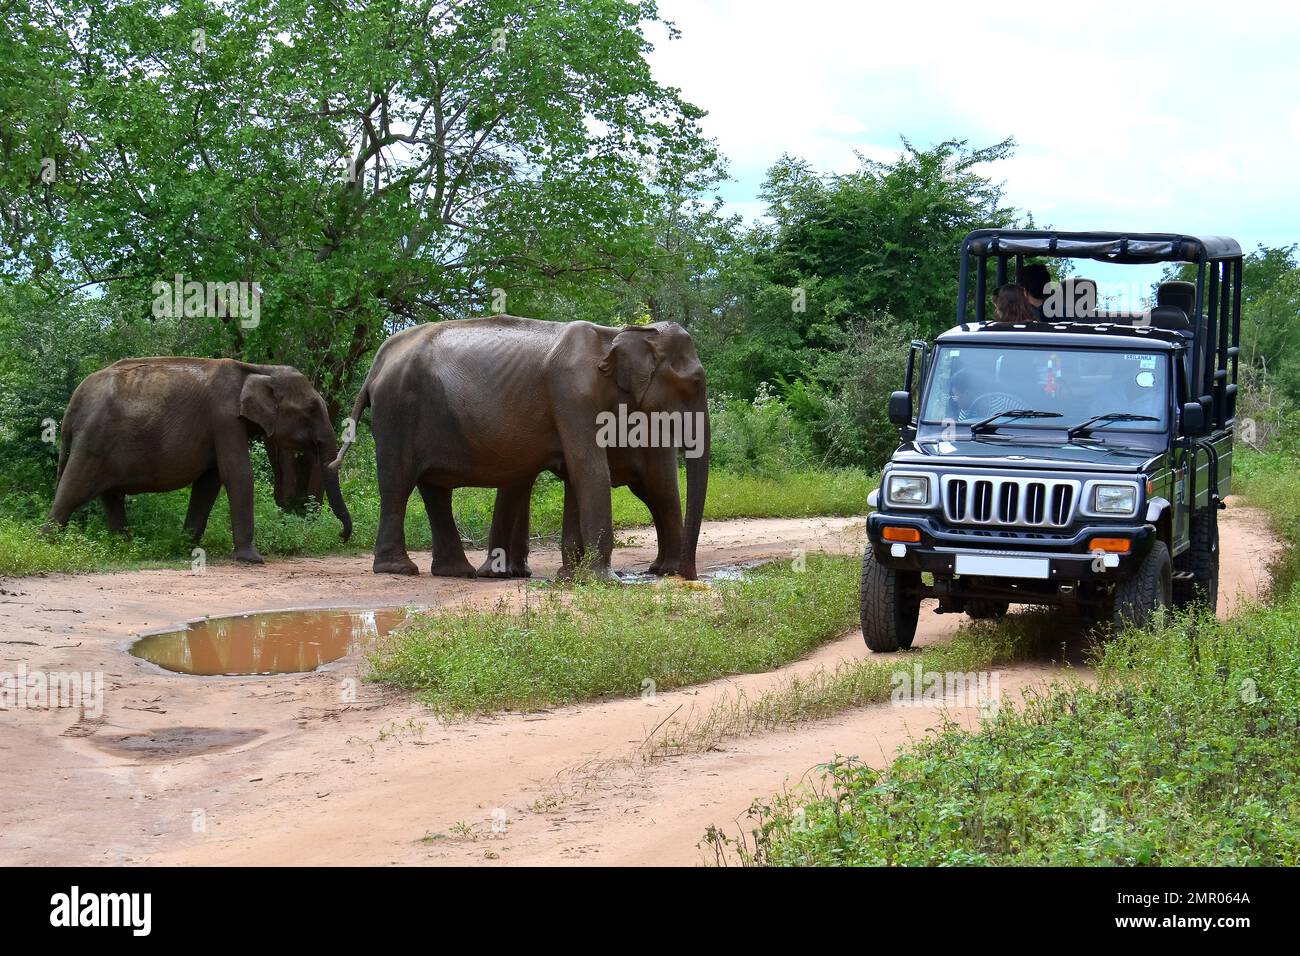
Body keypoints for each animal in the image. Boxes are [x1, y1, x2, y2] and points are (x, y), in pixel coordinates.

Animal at [46, 356, 353, 561]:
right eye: (311, 409)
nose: (342, 537)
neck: (259, 369)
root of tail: (73, 402)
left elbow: (209, 483)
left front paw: (187, 547)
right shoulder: (224, 418)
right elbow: (237, 474)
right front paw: (252, 560)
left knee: (110, 496)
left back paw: (124, 547)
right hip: (92, 441)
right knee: (73, 490)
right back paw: (47, 543)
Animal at [330, 317, 707, 580]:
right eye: (695, 382)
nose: (689, 577)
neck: (619, 334)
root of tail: (379, 360)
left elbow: (576, 475)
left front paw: (572, 578)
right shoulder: (572, 393)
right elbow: (589, 469)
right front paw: (603, 580)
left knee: (434, 489)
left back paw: (457, 572)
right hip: (398, 409)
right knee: (397, 483)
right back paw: (400, 569)